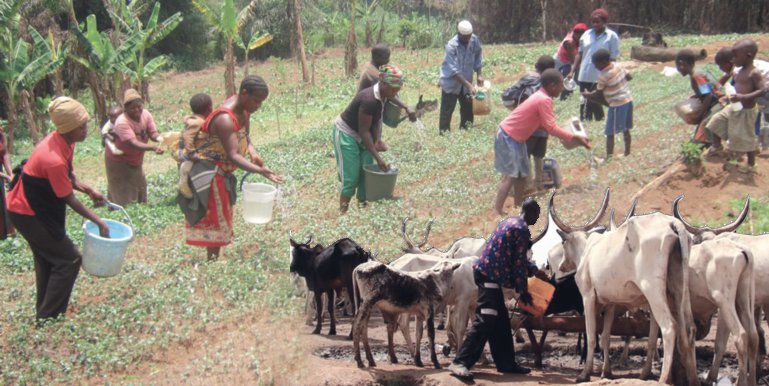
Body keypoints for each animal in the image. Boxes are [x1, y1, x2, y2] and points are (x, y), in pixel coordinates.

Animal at [552, 191, 704, 386]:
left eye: (563, 244)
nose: (562, 266)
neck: (587, 251)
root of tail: (672, 223)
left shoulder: (588, 297)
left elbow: (592, 335)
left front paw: (585, 373)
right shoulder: (610, 304)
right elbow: (606, 337)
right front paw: (606, 372)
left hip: (653, 290)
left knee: (669, 327)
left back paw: (663, 379)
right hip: (679, 290)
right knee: (689, 329)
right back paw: (691, 379)